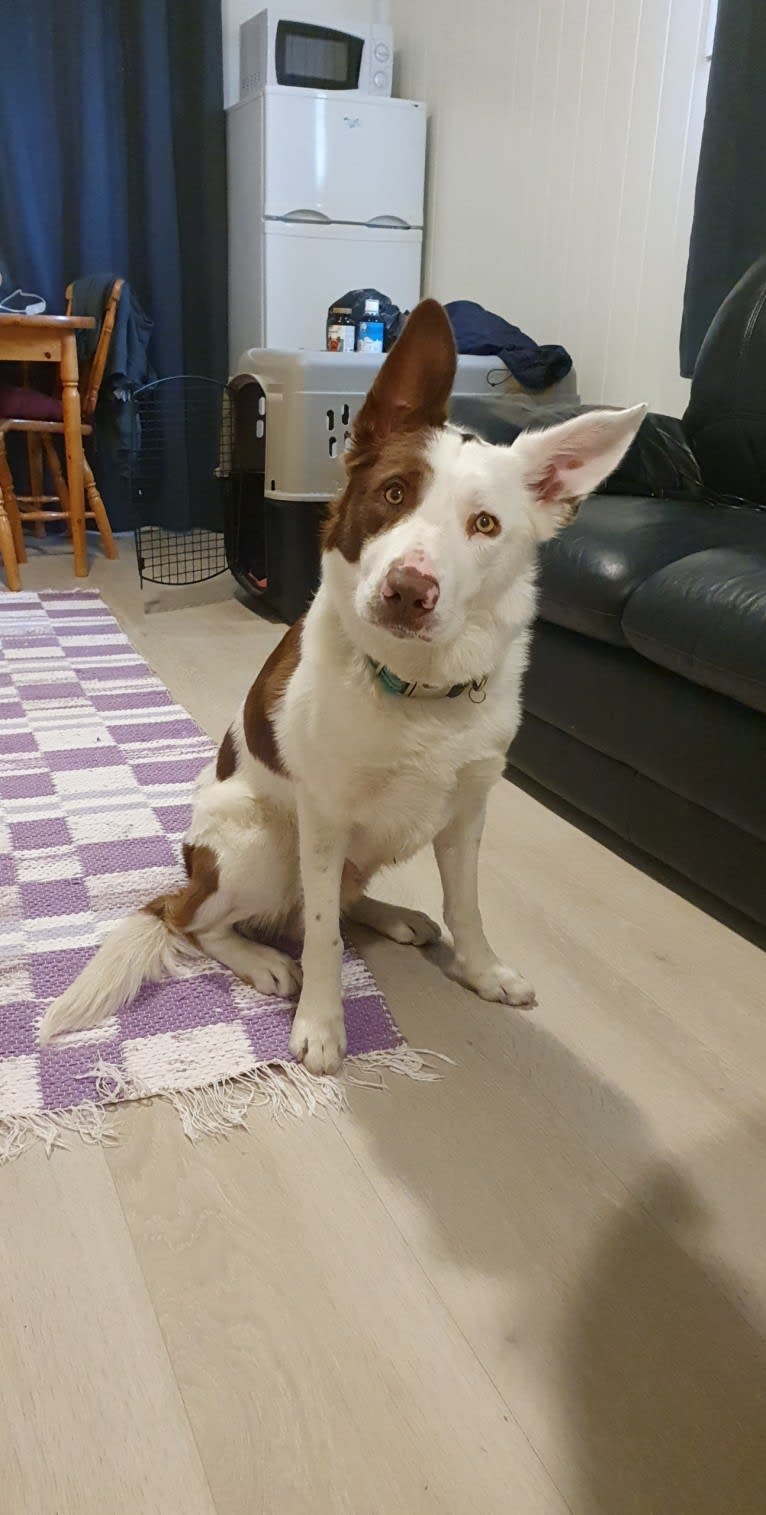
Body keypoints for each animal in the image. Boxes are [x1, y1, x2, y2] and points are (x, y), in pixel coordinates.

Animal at [38, 301, 641, 1072]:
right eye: (393, 493)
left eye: (485, 524)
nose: (408, 591)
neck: (416, 689)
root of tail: (190, 868)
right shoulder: (322, 821)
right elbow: (322, 931)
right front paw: (322, 1025)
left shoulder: (467, 811)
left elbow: (467, 906)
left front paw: (481, 971)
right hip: (261, 842)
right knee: (198, 920)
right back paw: (263, 960)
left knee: (340, 901)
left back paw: (397, 916)